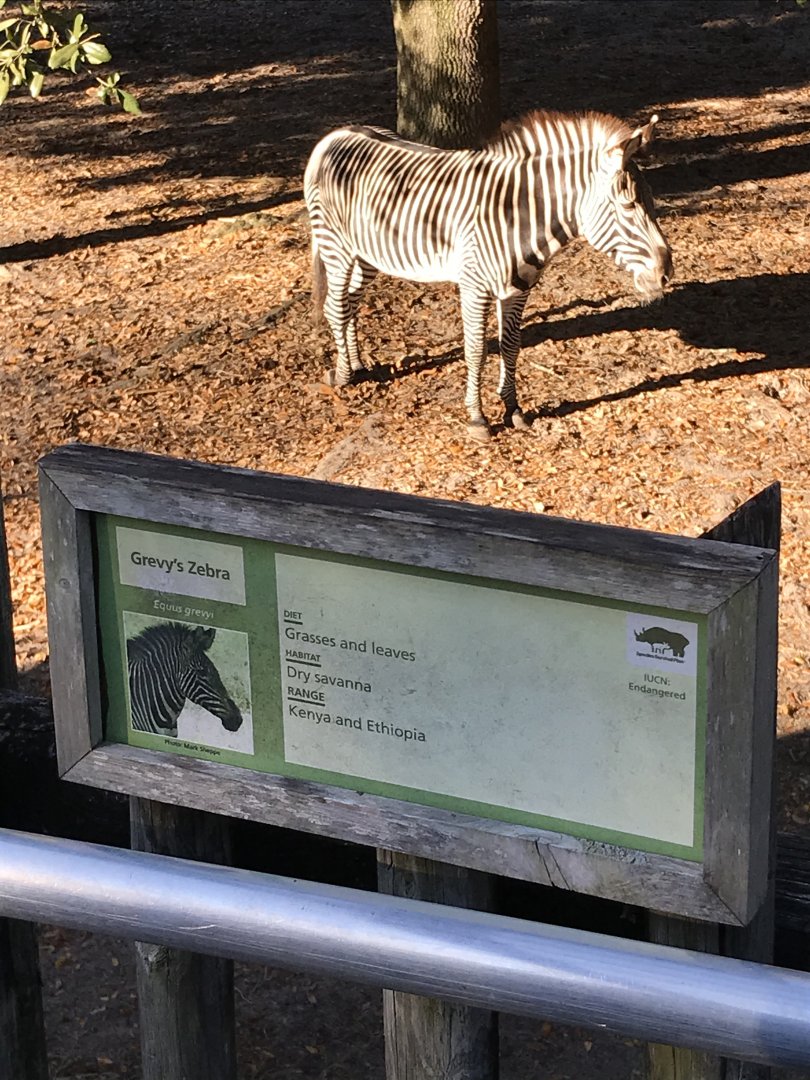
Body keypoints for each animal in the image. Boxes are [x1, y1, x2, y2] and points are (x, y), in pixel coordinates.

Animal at [304, 109, 673, 439]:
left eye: (651, 201)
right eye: (627, 205)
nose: (665, 275)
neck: (519, 216)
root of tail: (335, 135)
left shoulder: (518, 289)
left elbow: (511, 346)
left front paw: (513, 409)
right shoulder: (474, 286)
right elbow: (476, 350)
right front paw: (477, 418)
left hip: (366, 252)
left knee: (351, 302)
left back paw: (357, 364)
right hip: (335, 246)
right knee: (336, 307)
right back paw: (343, 375)